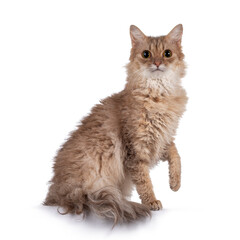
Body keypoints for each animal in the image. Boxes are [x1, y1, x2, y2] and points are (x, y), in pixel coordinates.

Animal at [44, 23, 188, 225]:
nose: (158, 63)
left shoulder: (163, 138)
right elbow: (145, 182)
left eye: (167, 53)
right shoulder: (136, 150)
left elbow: (176, 156)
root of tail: (59, 193)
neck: (158, 95)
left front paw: (175, 183)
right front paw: (151, 202)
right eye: (146, 54)